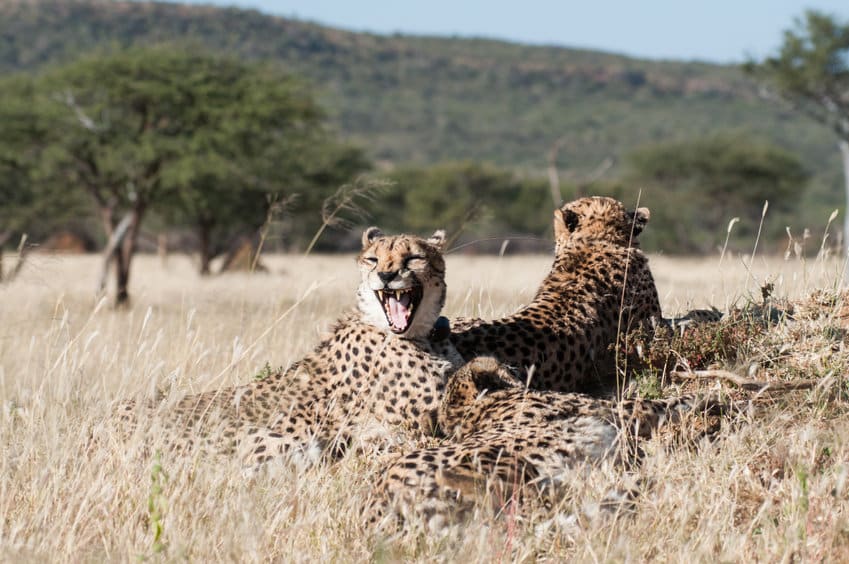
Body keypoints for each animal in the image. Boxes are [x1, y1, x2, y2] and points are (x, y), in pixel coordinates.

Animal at [112, 227, 464, 470]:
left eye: (414, 258)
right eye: (373, 259)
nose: (386, 275)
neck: (423, 335)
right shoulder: (417, 426)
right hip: (279, 442)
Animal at [372, 356, 728, 528]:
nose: (520, 367)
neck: (472, 409)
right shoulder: (621, 411)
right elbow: (673, 402)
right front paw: (726, 398)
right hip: (502, 464)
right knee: (527, 504)